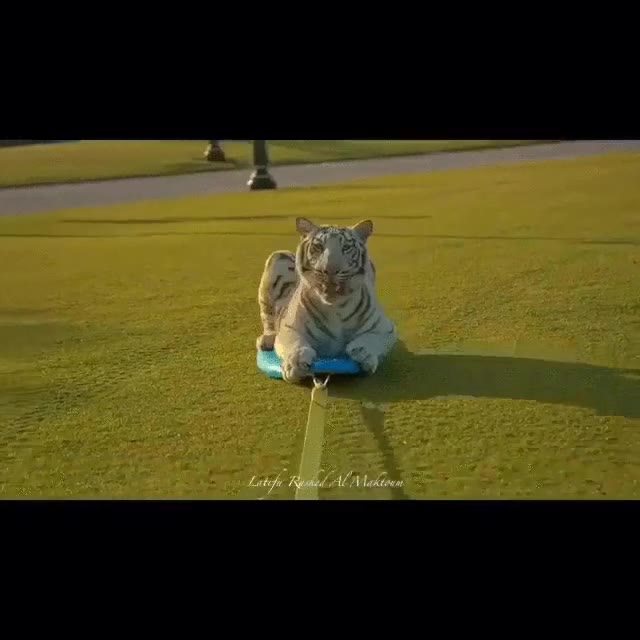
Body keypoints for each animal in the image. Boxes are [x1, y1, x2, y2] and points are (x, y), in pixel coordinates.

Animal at [256, 216, 397, 384]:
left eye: (346, 247)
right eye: (318, 246)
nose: (330, 270)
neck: (335, 308)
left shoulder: (386, 328)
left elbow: (372, 339)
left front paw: (363, 353)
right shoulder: (289, 326)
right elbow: (294, 342)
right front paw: (295, 363)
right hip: (277, 259)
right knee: (268, 319)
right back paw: (266, 340)